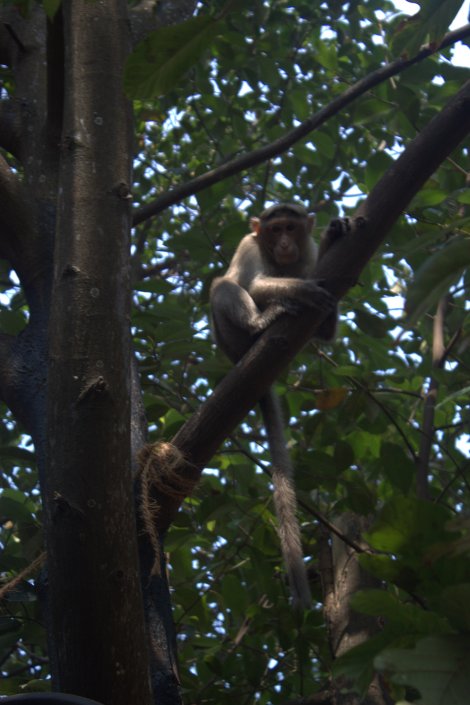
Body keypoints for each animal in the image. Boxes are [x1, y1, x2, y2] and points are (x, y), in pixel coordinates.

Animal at [210, 203, 345, 609]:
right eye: (273, 231)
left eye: (290, 228)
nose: (284, 243)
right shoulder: (249, 245)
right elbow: (252, 284)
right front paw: (300, 289)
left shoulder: (310, 252)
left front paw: (334, 234)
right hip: (232, 340)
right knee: (224, 286)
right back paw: (260, 324)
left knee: (323, 332)